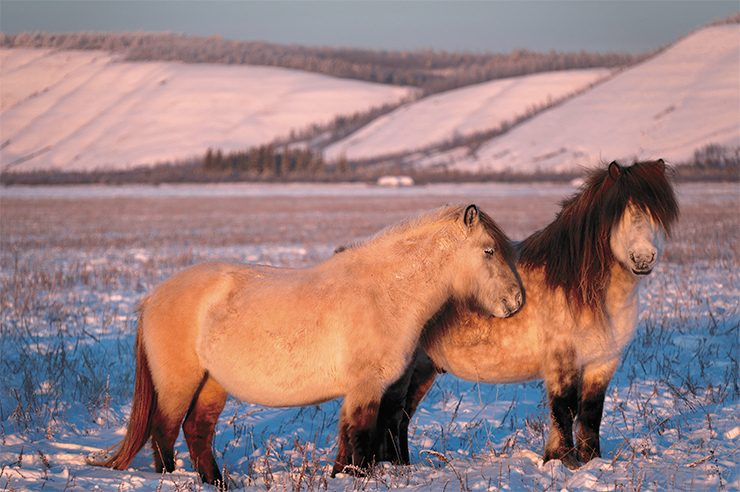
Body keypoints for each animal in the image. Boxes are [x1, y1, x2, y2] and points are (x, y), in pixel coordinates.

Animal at [89, 204, 523, 486]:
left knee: (197, 432)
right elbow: (361, 441)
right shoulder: (367, 388)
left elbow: (349, 442)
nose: (517, 301)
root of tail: (153, 297)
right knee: (164, 433)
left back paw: (217, 483)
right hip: (179, 383)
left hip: (212, 384)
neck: (385, 293)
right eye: (489, 250)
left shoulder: (365, 391)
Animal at [376, 160, 679, 470]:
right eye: (620, 212)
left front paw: (592, 461)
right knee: (390, 416)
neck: (583, 289)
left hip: (422, 371)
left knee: (402, 417)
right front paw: (562, 461)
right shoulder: (562, 359)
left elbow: (591, 413)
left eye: (657, 212)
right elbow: (564, 409)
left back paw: (403, 464)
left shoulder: (603, 362)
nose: (642, 258)